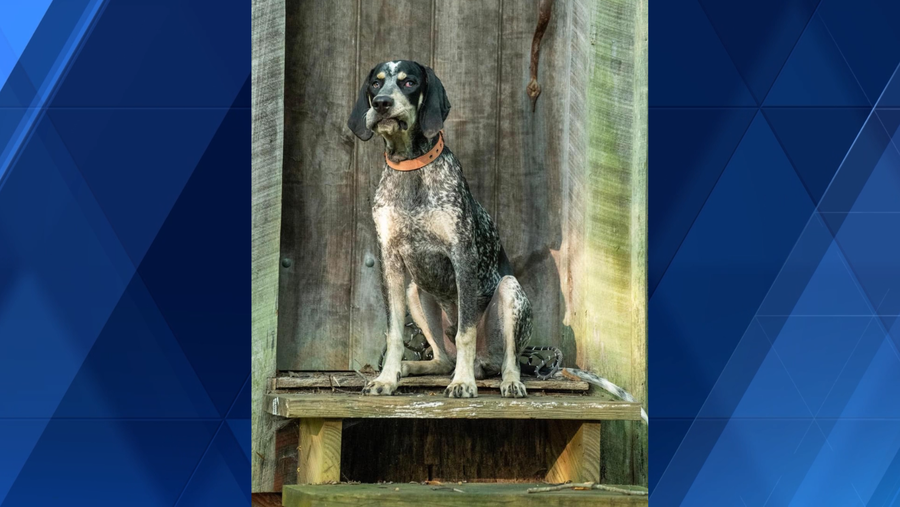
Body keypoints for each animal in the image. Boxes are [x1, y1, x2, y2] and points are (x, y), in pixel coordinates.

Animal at [346, 60, 532, 400]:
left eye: (409, 82)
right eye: (375, 83)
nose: (381, 103)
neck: (410, 167)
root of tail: (485, 363)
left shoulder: (463, 256)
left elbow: (465, 333)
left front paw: (463, 383)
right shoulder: (389, 262)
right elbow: (393, 333)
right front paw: (387, 378)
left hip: (510, 290)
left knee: (508, 360)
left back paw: (506, 381)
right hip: (414, 292)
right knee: (443, 359)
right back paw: (409, 367)